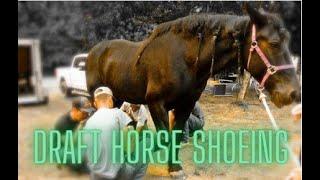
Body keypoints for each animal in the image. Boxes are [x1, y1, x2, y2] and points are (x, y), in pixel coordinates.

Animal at [85, 4, 300, 175]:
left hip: (117, 98)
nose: (293, 93)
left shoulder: (186, 105)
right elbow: (163, 138)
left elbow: (175, 136)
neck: (185, 60)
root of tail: (94, 51)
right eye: (274, 43)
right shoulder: (155, 103)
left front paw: (174, 168)